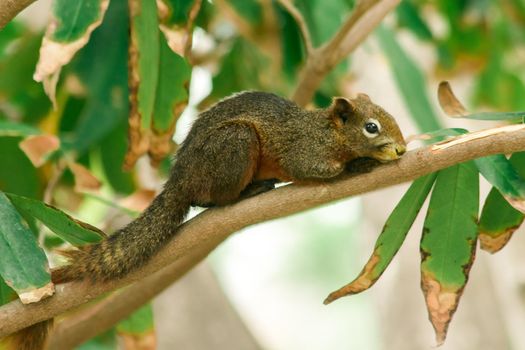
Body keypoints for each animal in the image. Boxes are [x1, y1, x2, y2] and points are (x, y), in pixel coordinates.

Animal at [7, 91, 406, 350]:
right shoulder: (304, 152)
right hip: (234, 144)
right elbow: (316, 169)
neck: (328, 132)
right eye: (371, 127)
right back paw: (250, 191)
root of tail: (179, 180)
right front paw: (365, 162)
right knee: (211, 199)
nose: (401, 147)